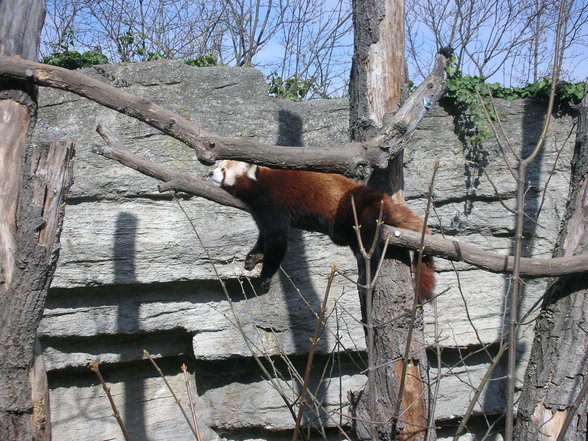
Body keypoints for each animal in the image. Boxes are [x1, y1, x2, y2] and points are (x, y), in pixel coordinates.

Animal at [209, 160, 434, 300]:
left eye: (223, 169)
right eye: (218, 166)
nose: (210, 172)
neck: (257, 183)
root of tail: (382, 197)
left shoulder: (272, 201)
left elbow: (277, 239)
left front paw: (265, 276)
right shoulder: (259, 211)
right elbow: (263, 235)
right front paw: (254, 257)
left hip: (359, 209)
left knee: (367, 243)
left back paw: (367, 274)